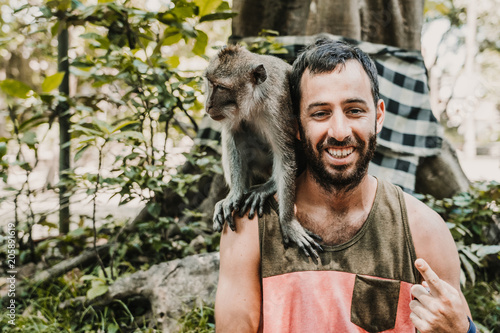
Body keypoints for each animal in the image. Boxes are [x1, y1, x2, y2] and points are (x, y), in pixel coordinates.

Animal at [205, 44, 322, 256]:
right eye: (210, 83)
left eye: (222, 87)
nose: (208, 104)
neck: (255, 100)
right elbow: (234, 138)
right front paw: (234, 194)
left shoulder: (276, 106)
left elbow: (285, 156)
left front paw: (288, 222)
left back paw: (269, 186)